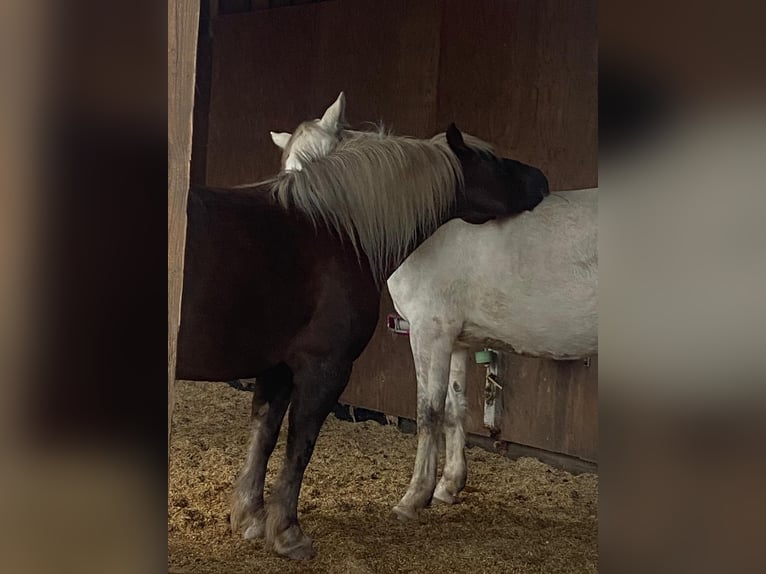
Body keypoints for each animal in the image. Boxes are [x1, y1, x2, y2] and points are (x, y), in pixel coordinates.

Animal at [175, 122, 549, 559]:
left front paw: (250, 517)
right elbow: (299, 445)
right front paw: (288, 532)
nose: (541, 179)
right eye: (491, 160)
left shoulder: (278, 367)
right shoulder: (325, 367)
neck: (334, 232)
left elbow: (263, 435)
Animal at [270, 95, 596, 523]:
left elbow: (428, 412)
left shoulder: (429, 333)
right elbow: (455, 408)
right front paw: (448, 486)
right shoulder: (456, 340)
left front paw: (413, 498)